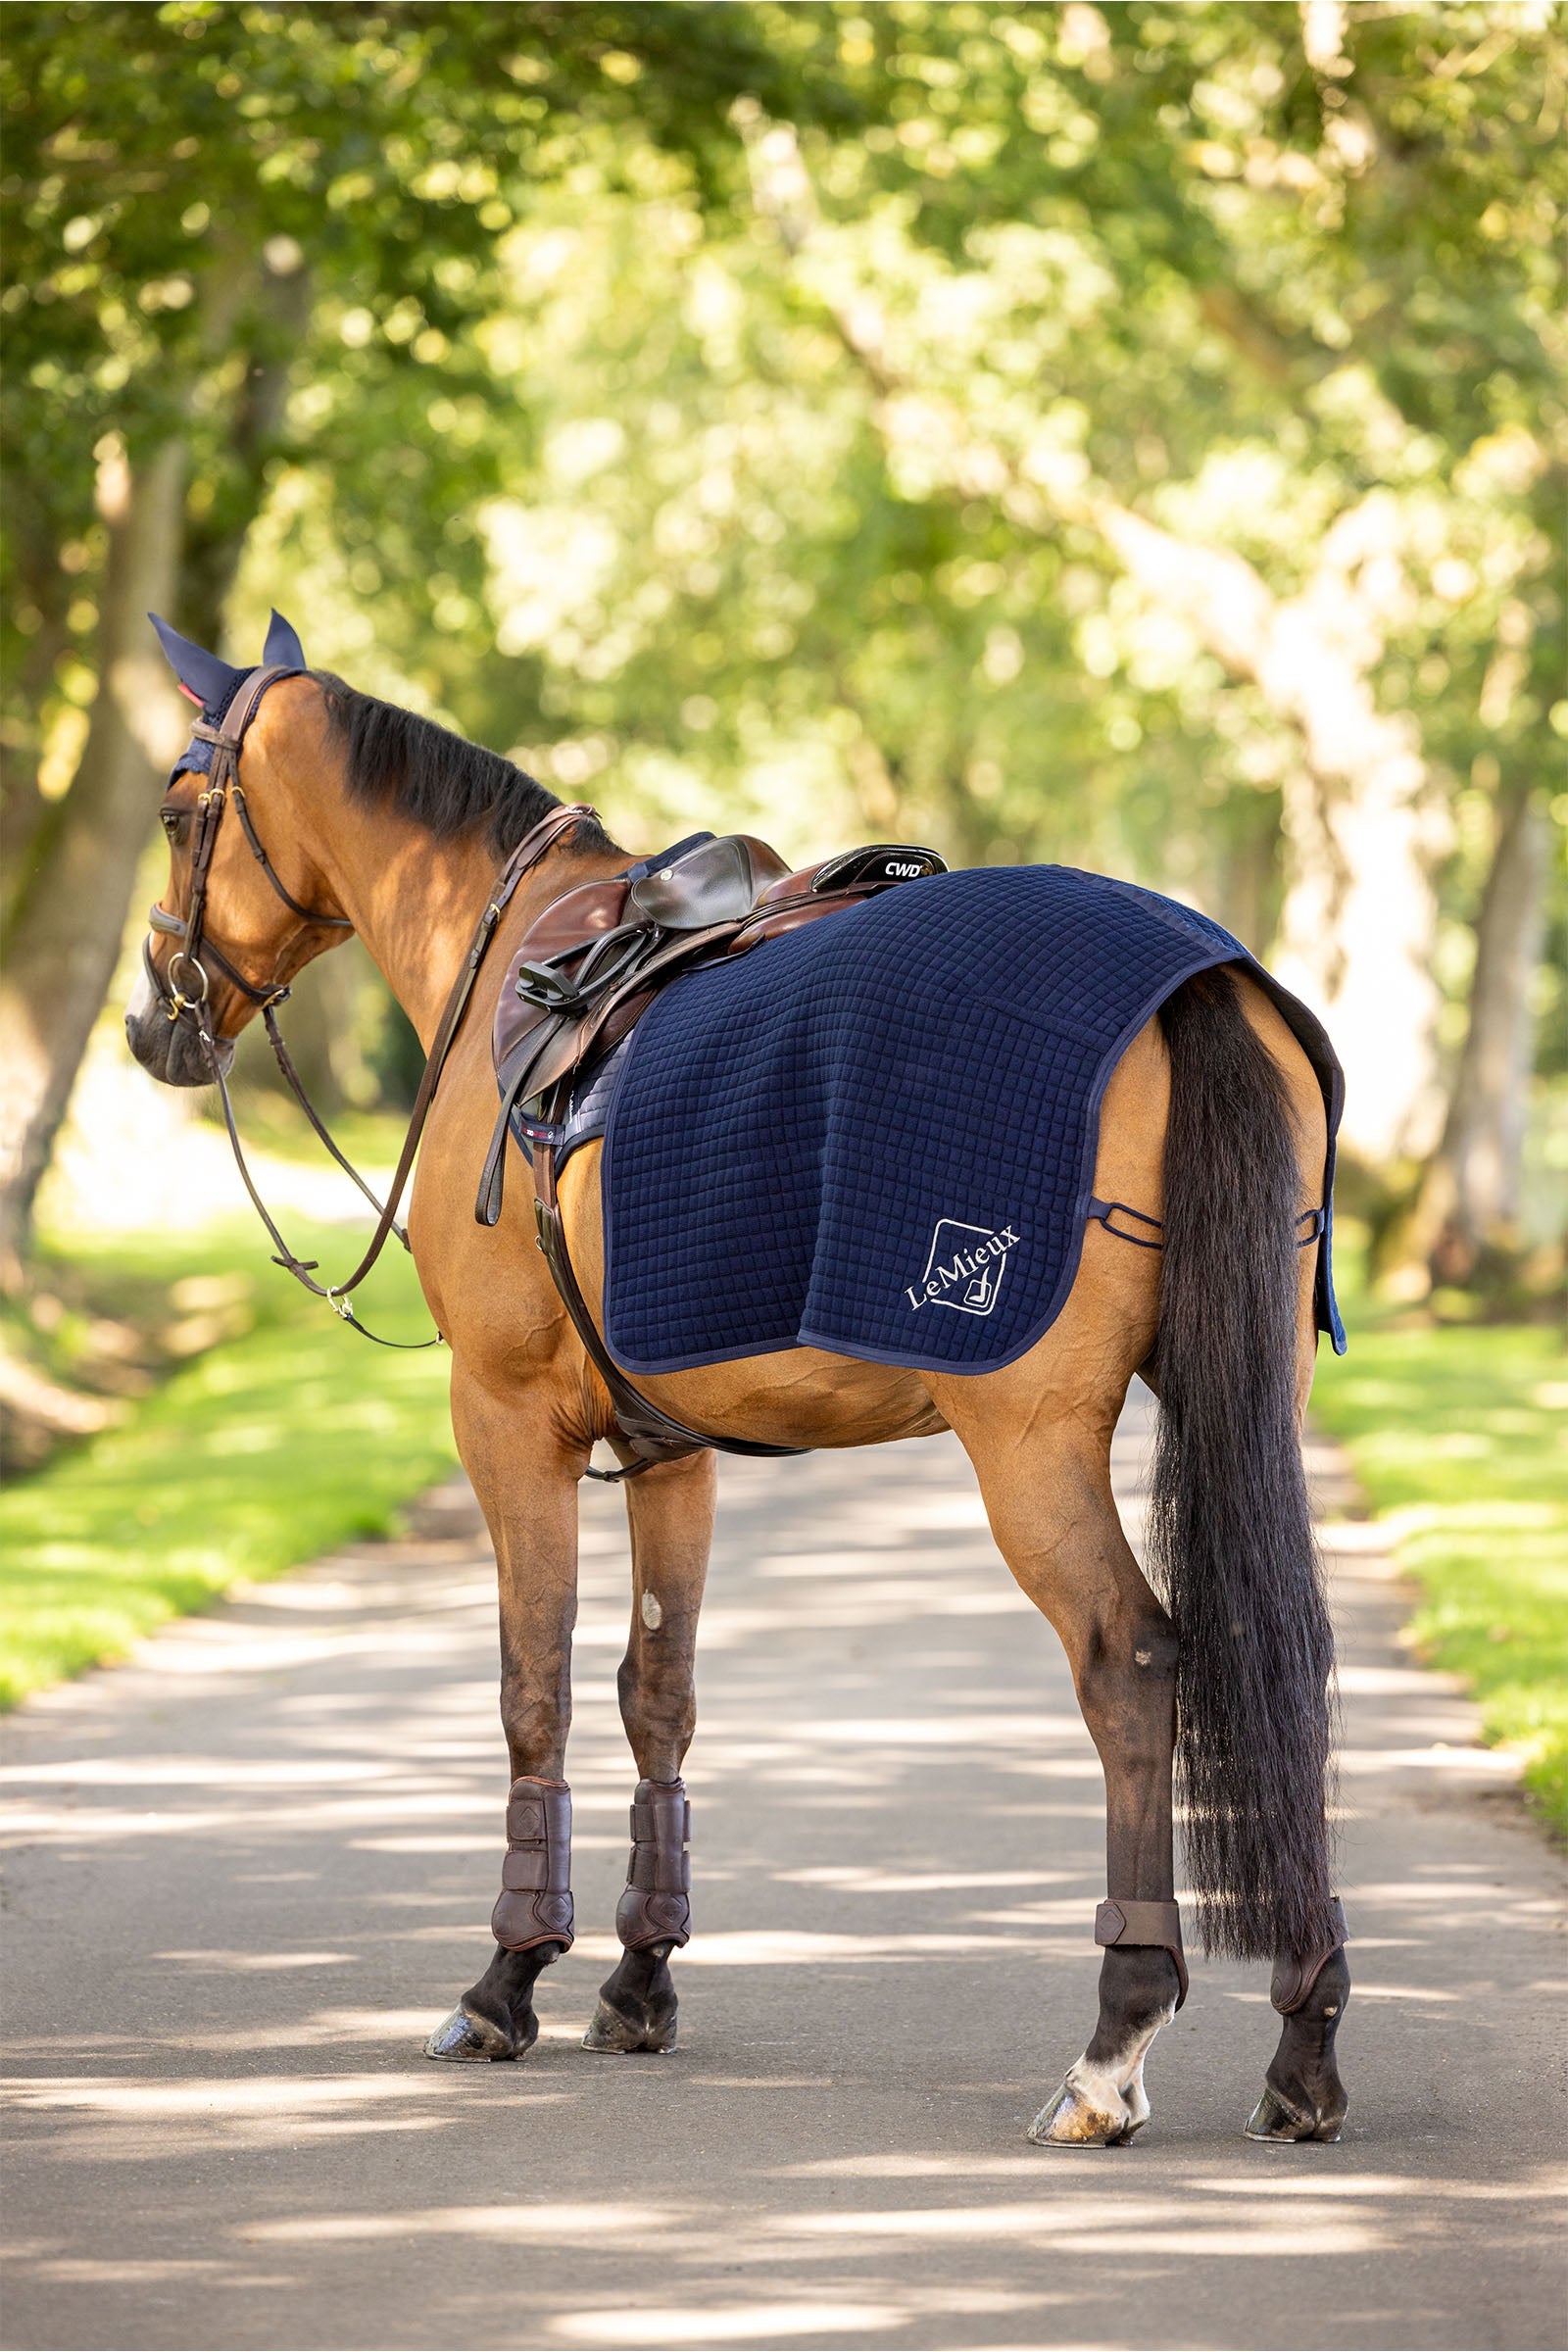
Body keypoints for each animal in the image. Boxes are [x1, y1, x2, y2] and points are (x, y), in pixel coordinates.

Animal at [125, 636, 1350, 2149]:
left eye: (177, 812)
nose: (155, 1023)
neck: (512, 961)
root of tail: (1197, 981)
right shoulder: (670, 1451)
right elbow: (661, 1692)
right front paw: (638, 1979)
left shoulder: (506, 1423)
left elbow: (534, 1691)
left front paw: (506, 1982)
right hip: (1247, 1407)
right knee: (1280, 1657)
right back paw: (1305, 2044)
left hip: (1029, 1442)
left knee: (1131, 1666)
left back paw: (1111, 2050)